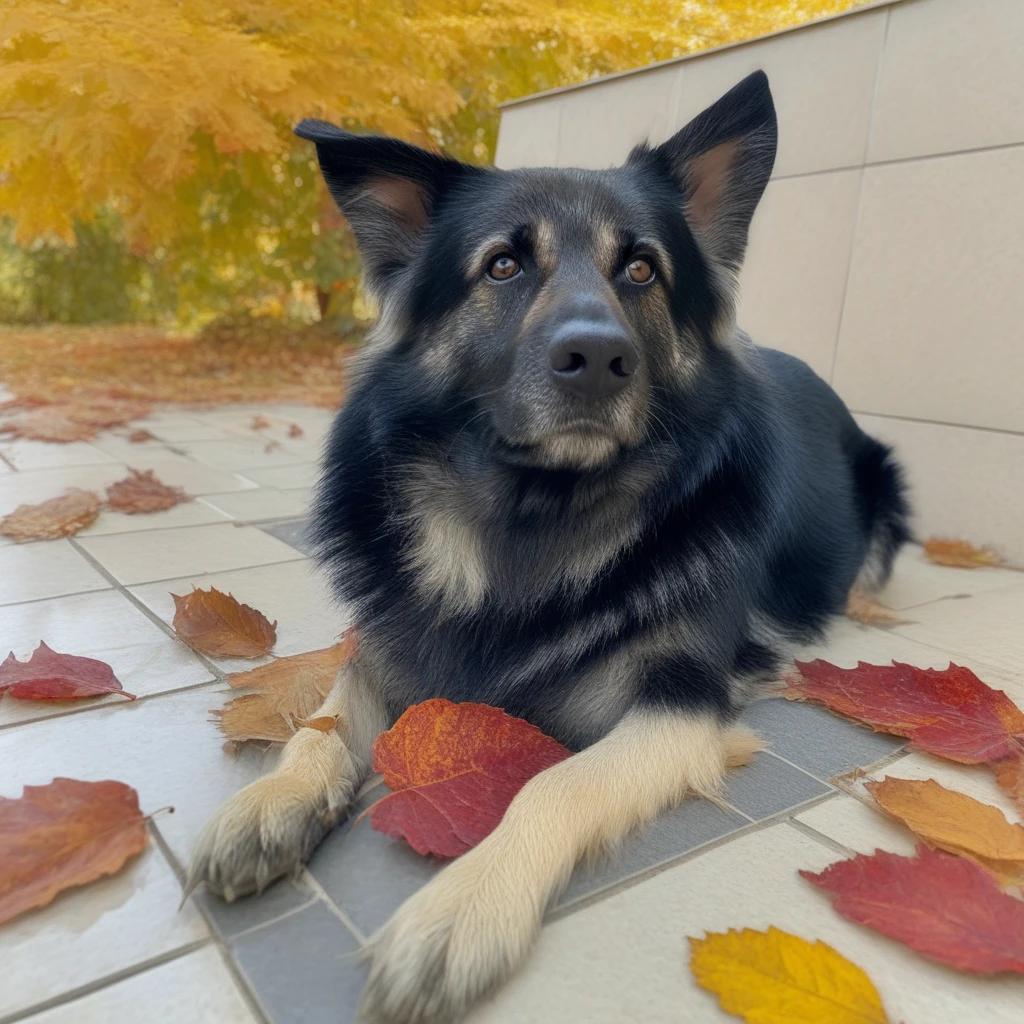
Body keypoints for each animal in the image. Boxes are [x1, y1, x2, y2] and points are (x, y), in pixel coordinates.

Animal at [188, 72, 909, 1024]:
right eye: (503, 265)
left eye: (640, 269)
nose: (597, 358)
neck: (538, 513)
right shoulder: (386, 642)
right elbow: (321, 721)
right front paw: (273, 798)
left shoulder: (675, 708)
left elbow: (551, 784)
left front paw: (463, 906)